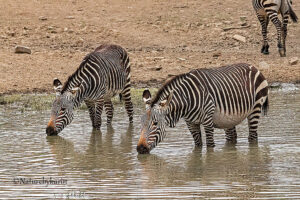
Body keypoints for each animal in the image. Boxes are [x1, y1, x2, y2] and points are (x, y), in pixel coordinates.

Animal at [137, 63, 268, 154]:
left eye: (155, 123)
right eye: (141, 123)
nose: (140, 149)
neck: (187, 101)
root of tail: (253, 67)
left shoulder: (208, 122)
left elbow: (210, 146)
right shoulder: (191, 124)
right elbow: (198, 146)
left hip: (255, 109)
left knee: (253, 137)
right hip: (229, 119)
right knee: (232, 138)